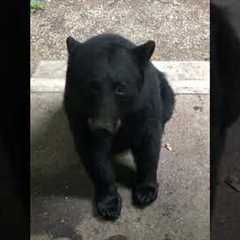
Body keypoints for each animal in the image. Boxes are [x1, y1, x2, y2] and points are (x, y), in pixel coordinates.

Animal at [63, 32, 175, 220]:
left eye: (121, 88)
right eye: (91, 86)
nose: (102, 127)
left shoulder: (145, 106)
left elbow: (148, 144)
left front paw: (146, 190)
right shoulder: (78, 112)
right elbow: (94, 153)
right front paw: (109, 202)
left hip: (165, 94)